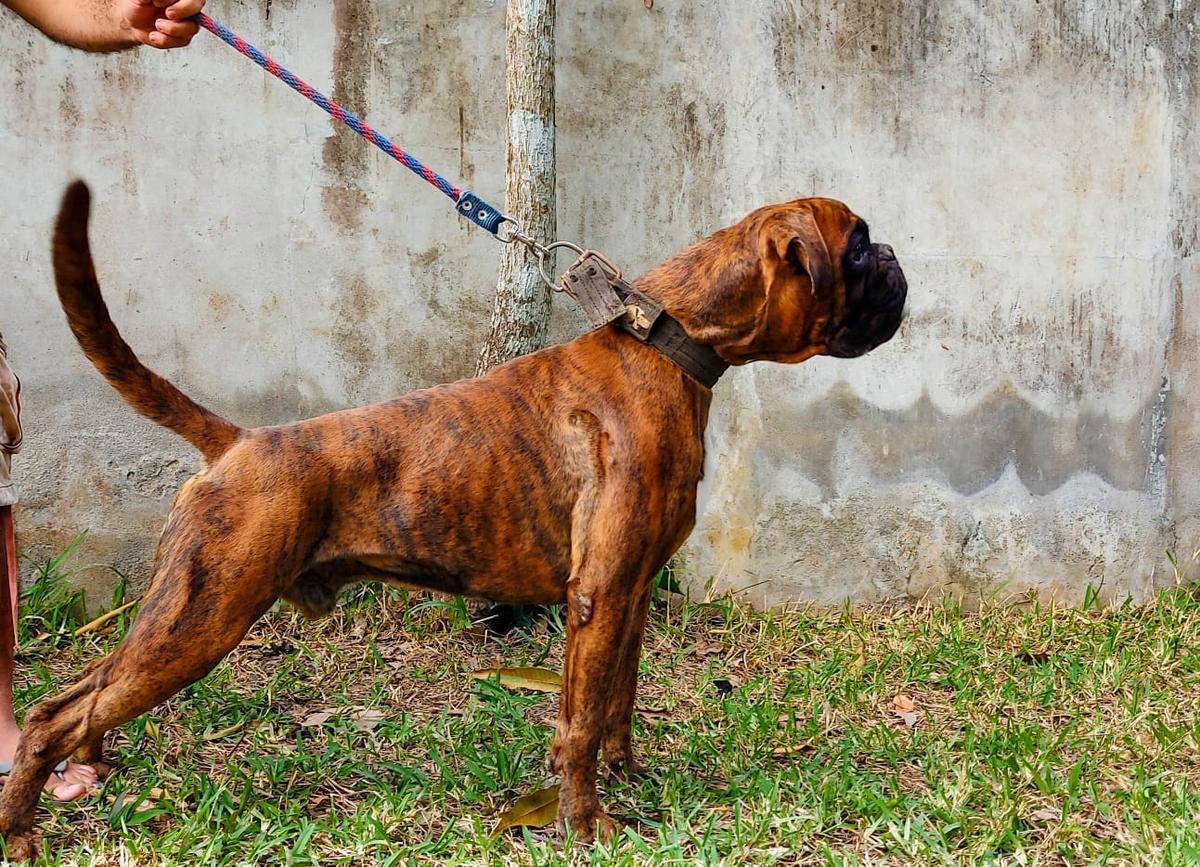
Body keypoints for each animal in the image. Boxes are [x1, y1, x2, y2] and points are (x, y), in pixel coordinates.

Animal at [0, 178, 902, 854]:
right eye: (857, 244)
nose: (895, 255)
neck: (668, 338)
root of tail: (240, 443)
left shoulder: (631, 593)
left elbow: (616, 699)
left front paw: (626, 777)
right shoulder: (600, 594)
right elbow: (580, 718)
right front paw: (585, 823)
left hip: (178, 615)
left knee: (84, 697)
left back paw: (91, 763)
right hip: (203, 617)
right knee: (49, 713)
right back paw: (22, 829)